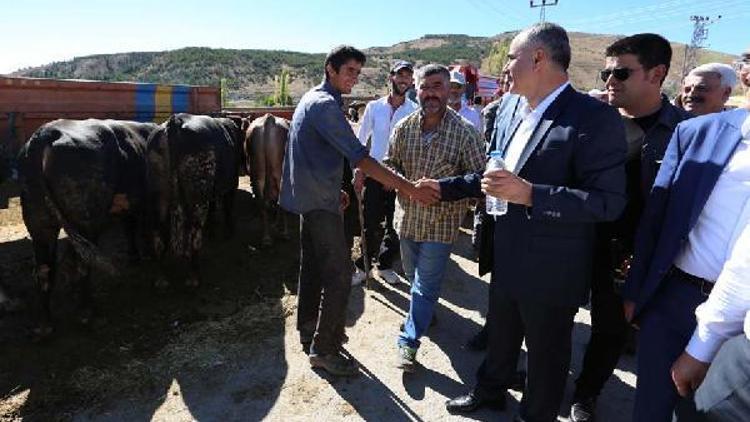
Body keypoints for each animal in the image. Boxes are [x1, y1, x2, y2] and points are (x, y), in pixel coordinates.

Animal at [17, 118, 157, 332]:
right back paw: (87, 312)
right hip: (85, 220)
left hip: (39, 223)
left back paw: (45, 324)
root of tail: (46, 134)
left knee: (44, 269)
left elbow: (129, 228)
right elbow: (141, 229)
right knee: (83, 264)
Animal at [146, 113, 238, 288]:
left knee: (158, 235)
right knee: (194, 235)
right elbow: (228, 209)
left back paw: (161, 278)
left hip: (158, 198)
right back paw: (194, 277)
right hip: (198, 198)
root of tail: (175, 122)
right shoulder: (230, 186)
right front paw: (229, 232)